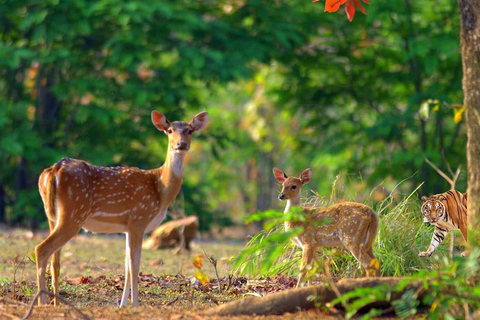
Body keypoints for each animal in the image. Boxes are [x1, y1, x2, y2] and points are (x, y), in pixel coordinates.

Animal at [35, 110, 208, 308]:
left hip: (52, 215)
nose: (181, 144)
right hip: (73, 213)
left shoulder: (127, 226)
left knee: (54, 260)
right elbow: (134, 264)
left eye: (190, 130)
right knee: (41, 249)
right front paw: (135, 305)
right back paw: (41, 302)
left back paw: (56, 303)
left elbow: (126, 264)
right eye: (170, 130)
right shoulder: (139, 218)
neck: (161, 189)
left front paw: (123, 304)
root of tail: (53, 170)